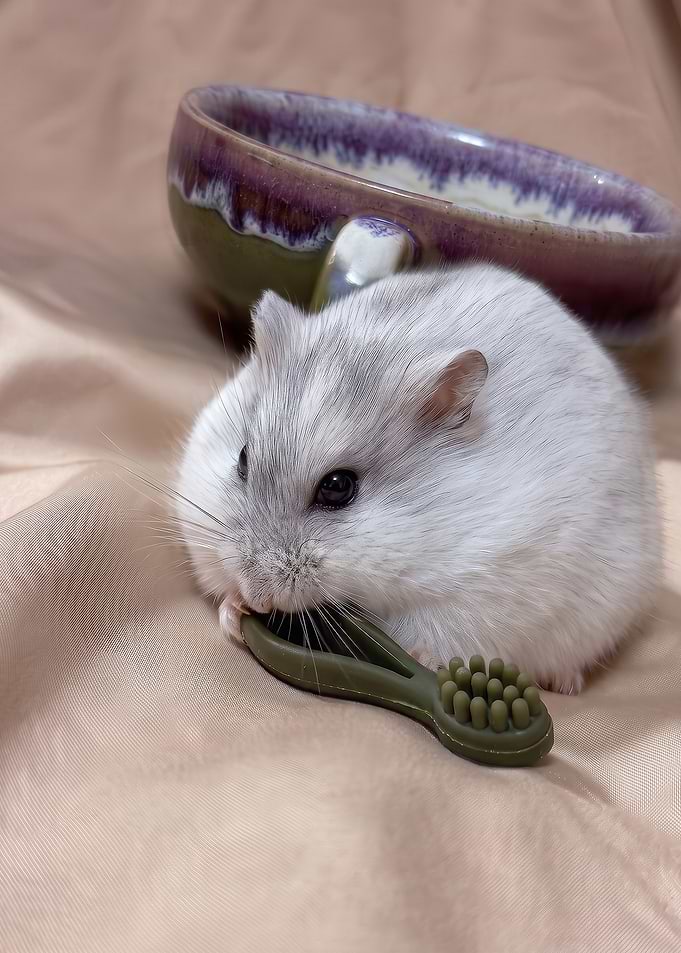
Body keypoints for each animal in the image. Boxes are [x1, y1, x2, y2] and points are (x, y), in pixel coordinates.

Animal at [176, 264, 660, 693]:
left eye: (338, 487)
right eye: (242, 458)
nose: (258, 597)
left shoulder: (484, 589)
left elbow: (429, 636)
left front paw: (420, 659)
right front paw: (234, 613)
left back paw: (566, 684)